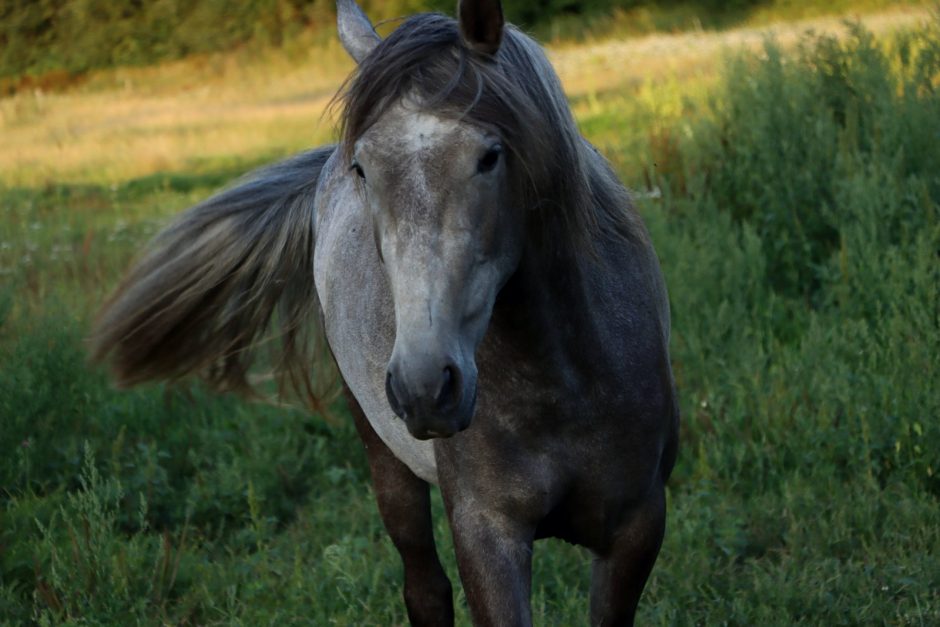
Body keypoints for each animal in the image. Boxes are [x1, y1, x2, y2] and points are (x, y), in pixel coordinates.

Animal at [92, 1, 680, 624]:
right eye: (364, 170)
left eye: (489, 156)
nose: (425, 386)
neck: (565, 383)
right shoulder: (486, 535)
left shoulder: (637, 529)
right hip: (384, 457)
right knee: (424, 588)